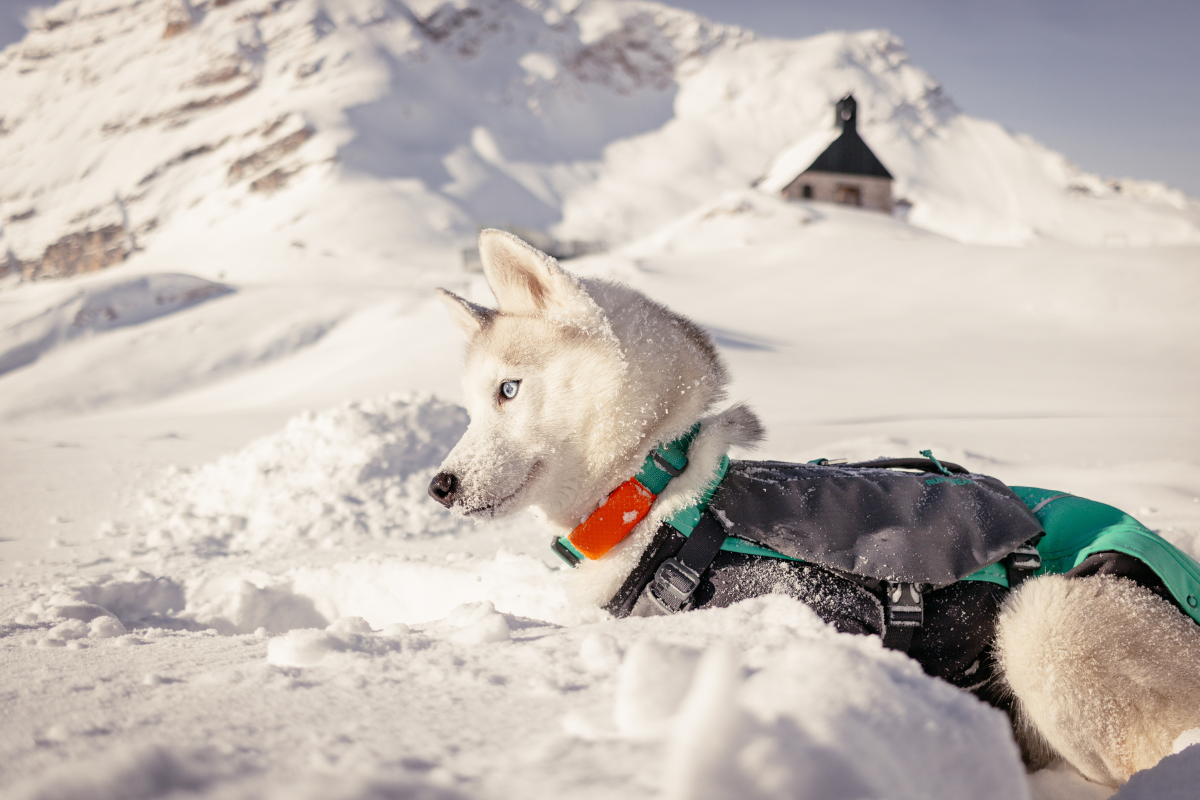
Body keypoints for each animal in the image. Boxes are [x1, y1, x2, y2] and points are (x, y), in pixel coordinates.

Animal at [432, 226, 1200, 786]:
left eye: (509, 390)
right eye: (471, 404)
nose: (439, 486)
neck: (656, 497)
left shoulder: (825, 613)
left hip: (1045, 620)